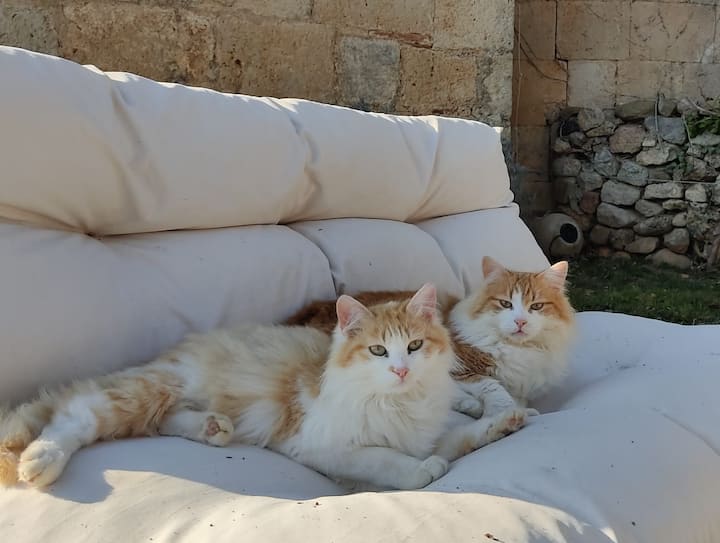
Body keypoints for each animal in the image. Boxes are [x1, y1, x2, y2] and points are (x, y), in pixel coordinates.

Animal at [0, 284, 524, 490]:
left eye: (414, 346)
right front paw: (422, 471)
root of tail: (170, 354)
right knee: (76, 413)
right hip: (146, 389)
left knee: (161, 421)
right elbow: (386, 461)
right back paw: (39, 461)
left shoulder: (426, 432)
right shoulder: (319, 445)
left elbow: (458, 439)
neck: (401, 404)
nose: (399, 371)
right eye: (378, 351)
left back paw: (214, 428)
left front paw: (505, 422)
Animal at [286, 257, 576, 419]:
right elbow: (494, 388)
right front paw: (505, 412)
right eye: (505, 304)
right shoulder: (463, 369)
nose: (520, 322)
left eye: (536, 306)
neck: (516, 348)